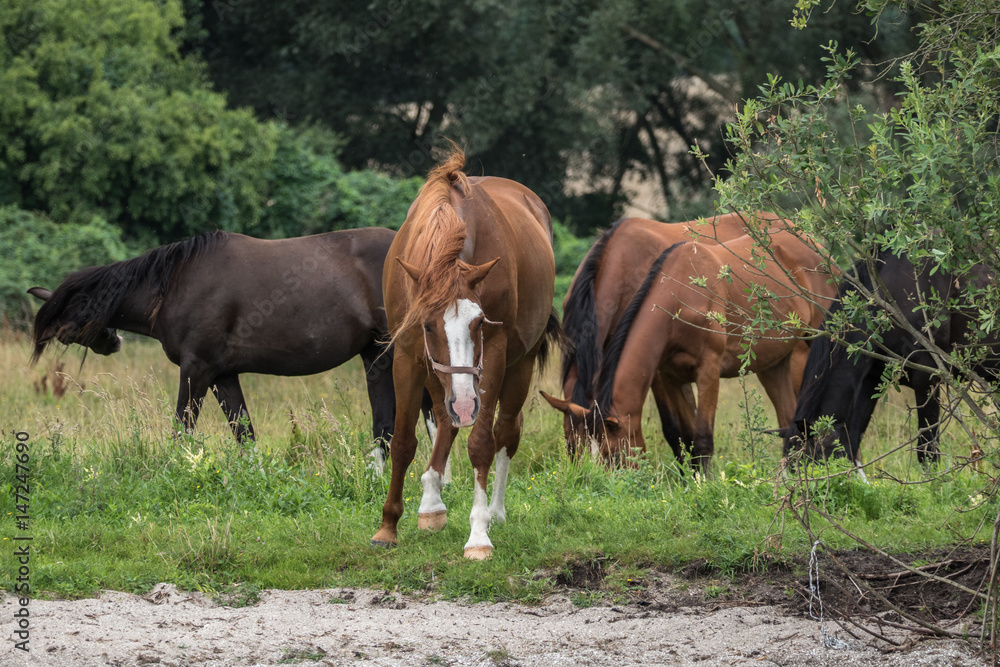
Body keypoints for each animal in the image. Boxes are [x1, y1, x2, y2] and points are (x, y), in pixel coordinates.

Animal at [30, 227, 430, 456]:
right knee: (397, 424)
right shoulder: (222, 375)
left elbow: (182, 431)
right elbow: (245, 436)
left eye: (65, 329)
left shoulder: (196, 369)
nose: (113, 341)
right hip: (378, 353)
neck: (175, 283)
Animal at [372, 146, 560, 560]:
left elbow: (481, 443)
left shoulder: (493, 356)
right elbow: (404, 442)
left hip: (516, 367)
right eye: (427, 325)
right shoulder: (408, 356)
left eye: (479, 323)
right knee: (446, 421)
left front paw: (478, 535)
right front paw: (388, 526)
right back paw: (431, 503)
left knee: (505, 430)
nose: (463, 402)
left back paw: (495, 512)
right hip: (439, 377)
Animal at [572, 232, 836, 472]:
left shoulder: (708, 371)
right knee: (789, 424)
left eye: (614, 455)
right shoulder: (671, 378)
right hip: (774, 365)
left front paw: (705, 487)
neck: (680, 296)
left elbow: (702, 441)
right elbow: (687, 438)